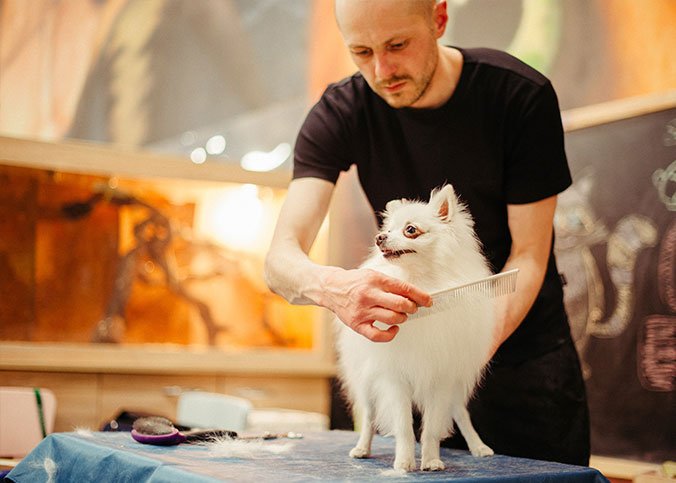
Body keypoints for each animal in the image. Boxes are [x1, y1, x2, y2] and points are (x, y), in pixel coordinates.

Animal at [336, 184, 494, 472]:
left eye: (410, 230)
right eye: (388, 230)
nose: (379, 237)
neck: (420, 281)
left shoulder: (442, 378)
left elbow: (431, 428)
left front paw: (430, 460)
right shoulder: (394, 378)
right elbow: (404, 426)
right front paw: (404, 462)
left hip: (455, 387)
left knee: (460, 413)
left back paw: (478, 447)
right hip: (366, 381)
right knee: (368, 417)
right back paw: (362, 448)